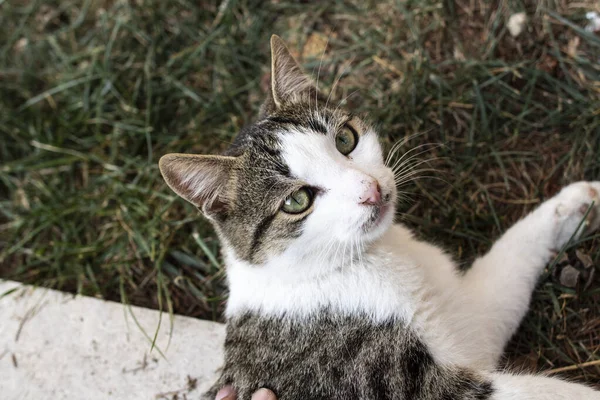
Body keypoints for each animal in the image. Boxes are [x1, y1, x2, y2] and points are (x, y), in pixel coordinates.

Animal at [159, 36, 600, 398]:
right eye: (297, 200)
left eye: (345, 139)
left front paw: (575, 203)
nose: (370, 189)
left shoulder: (469, 324)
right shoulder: (415, 386)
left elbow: (507, 266)